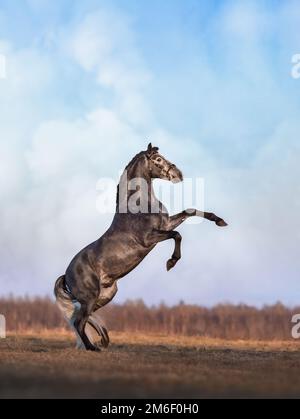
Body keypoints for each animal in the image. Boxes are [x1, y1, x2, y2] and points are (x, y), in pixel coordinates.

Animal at [54, 144, 227, 352]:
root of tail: (66, 274)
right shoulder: (150, 238)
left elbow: (190, 211)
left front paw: (219, 220)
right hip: (90, 297)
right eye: (158, 159)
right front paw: (171, 262)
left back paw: (102, 340)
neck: (139, 206)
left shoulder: (166, 224)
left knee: (80, 317)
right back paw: (92, 347)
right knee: (79, 321)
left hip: (104, 296)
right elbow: (177, 235)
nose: (178, 174)